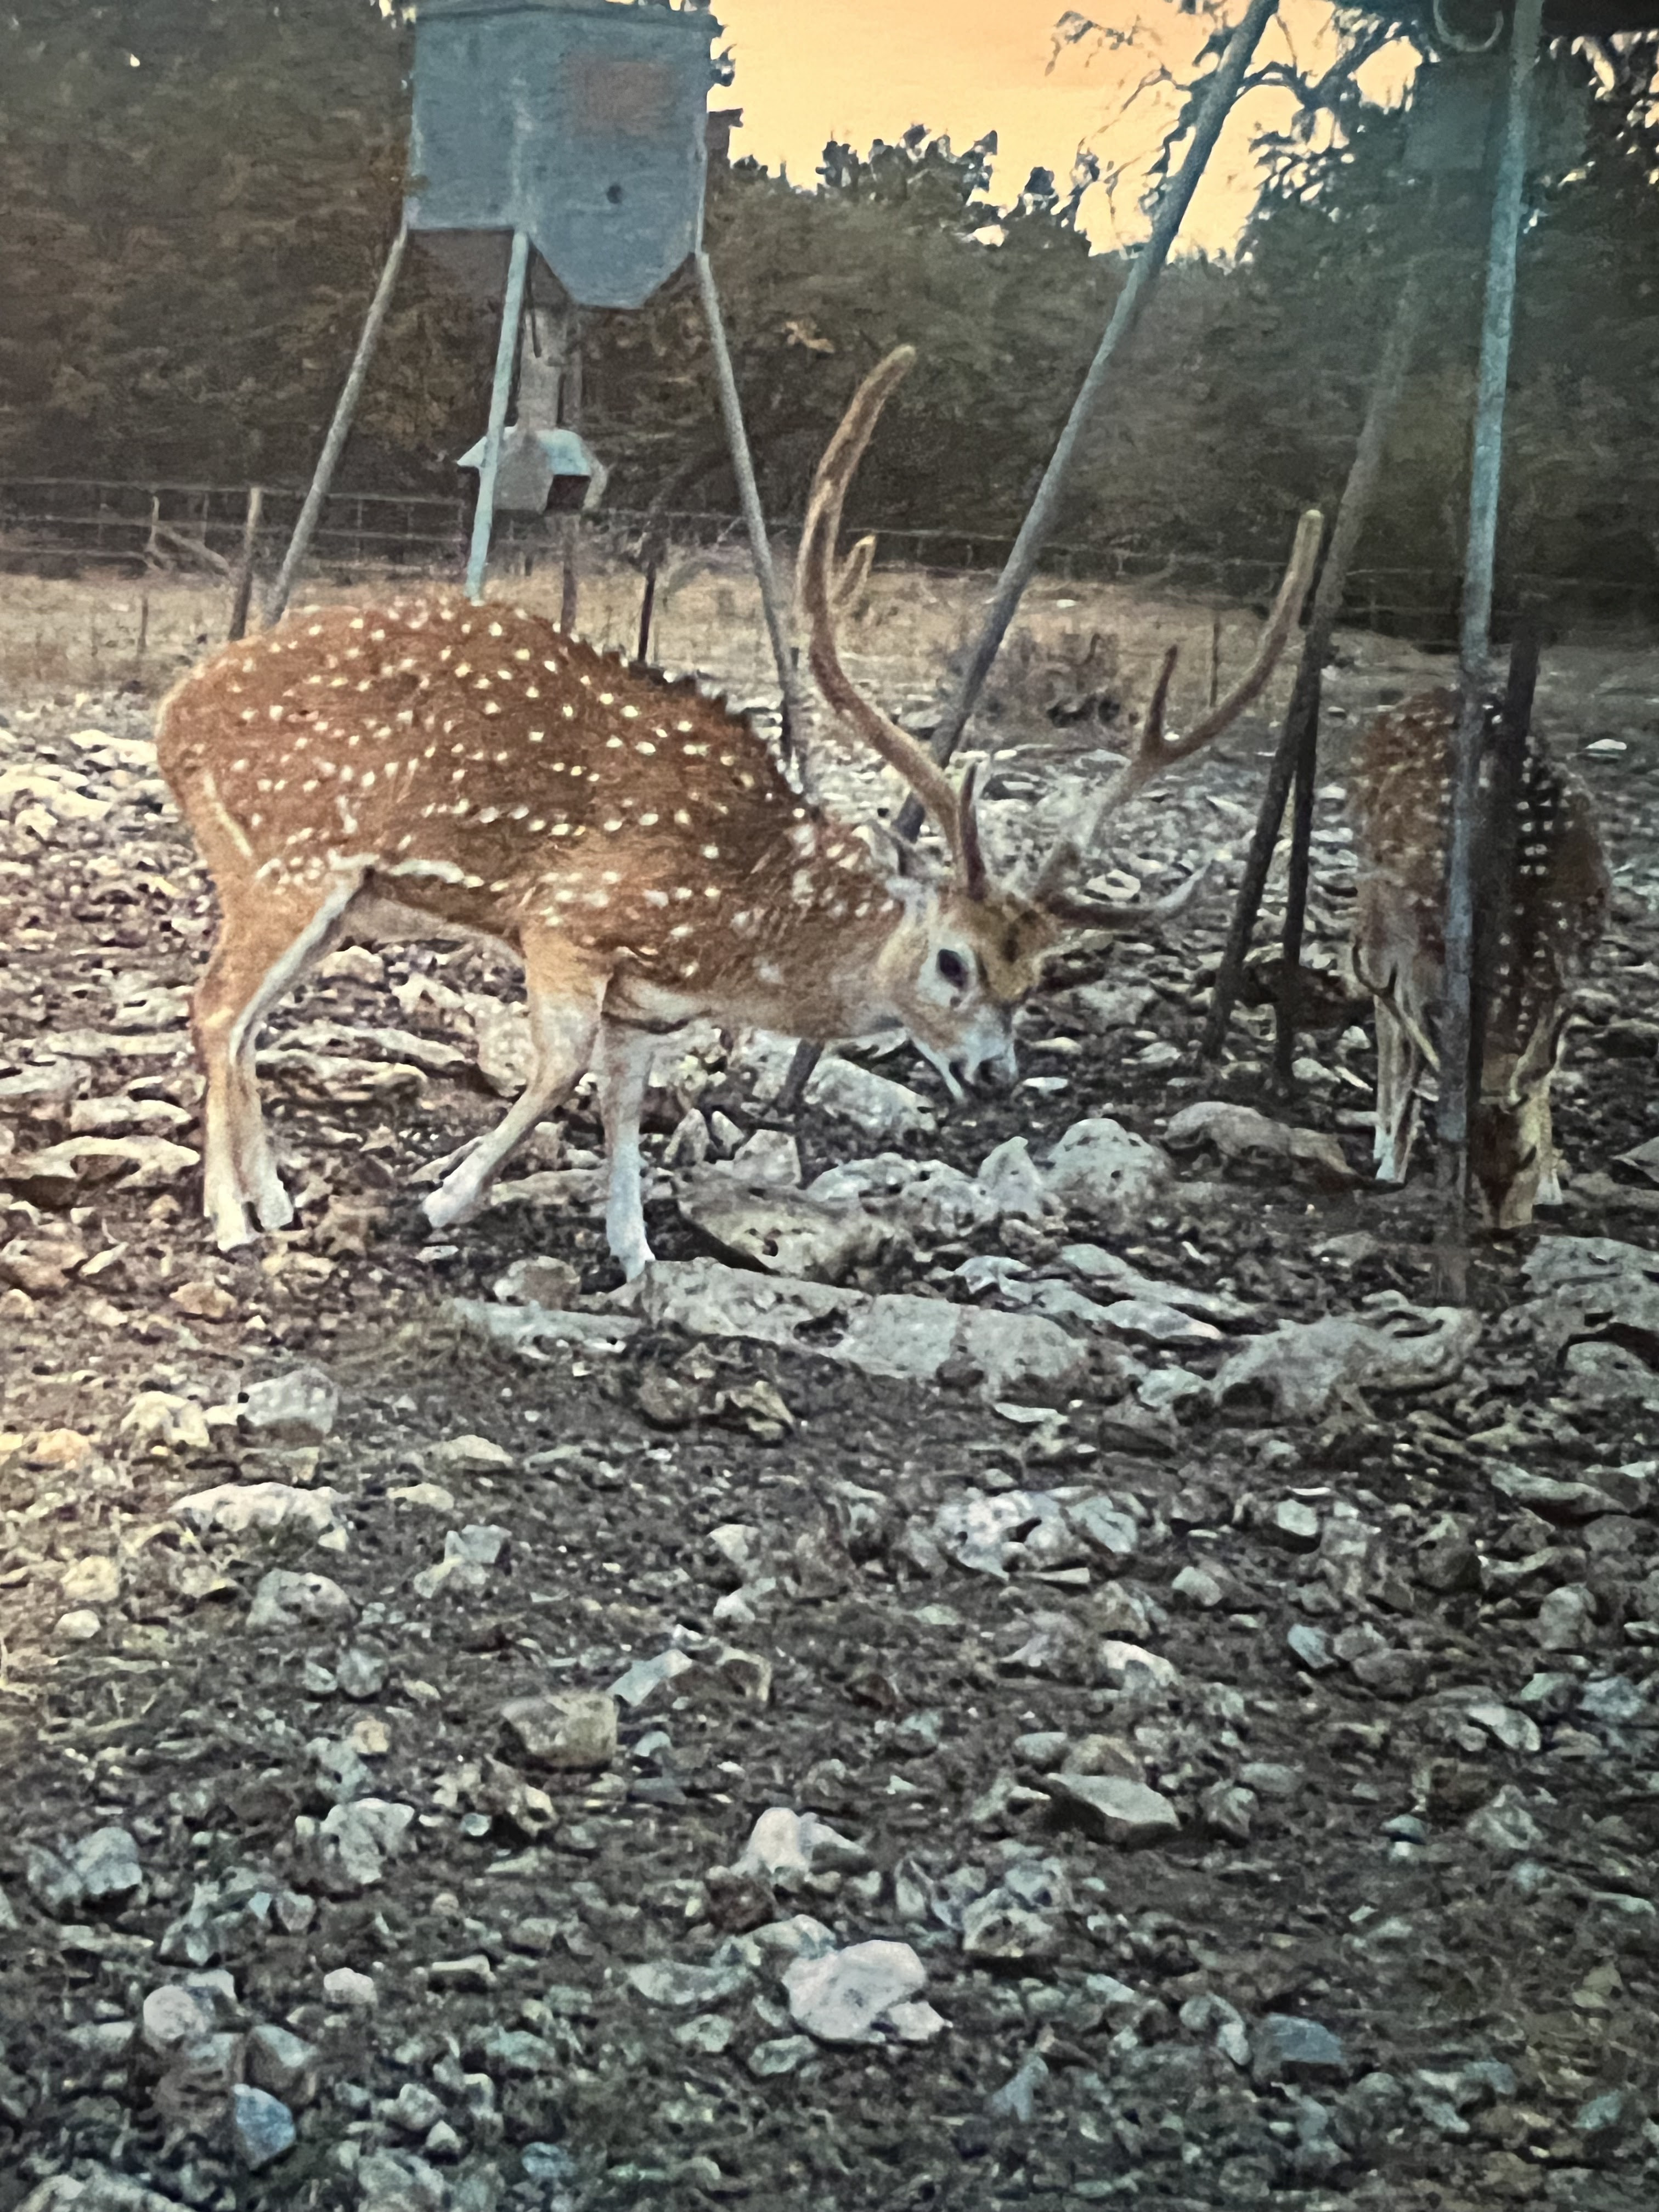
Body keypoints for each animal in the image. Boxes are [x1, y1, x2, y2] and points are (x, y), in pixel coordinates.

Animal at [156, 346, 1320, 1278]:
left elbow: (622, 1101)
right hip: (287, 858)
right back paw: (231, 1216)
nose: (994, 1073)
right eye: (952, 959)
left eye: (1038, 975)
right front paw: (440, 1198)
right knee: (214, 1006)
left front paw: (633, 1252)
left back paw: (274, 1198)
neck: (732, 930)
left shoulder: (640, 1002)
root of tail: (174, 716)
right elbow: (555, 1069)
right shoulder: (567, 920)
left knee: (245, 1020)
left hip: (333, 900)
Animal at [1348, 688, 1609, 1228]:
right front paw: (1394, 1161)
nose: (1506, 1227)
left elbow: (1547, 1064)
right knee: (1384, 1007)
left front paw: (1553, 1186)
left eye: (1527, 1156)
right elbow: (1421, 1046)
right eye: (1465, 1161)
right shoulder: (1427, 945)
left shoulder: (1575, 954)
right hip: (1374, 889)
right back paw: (1383, 1140)